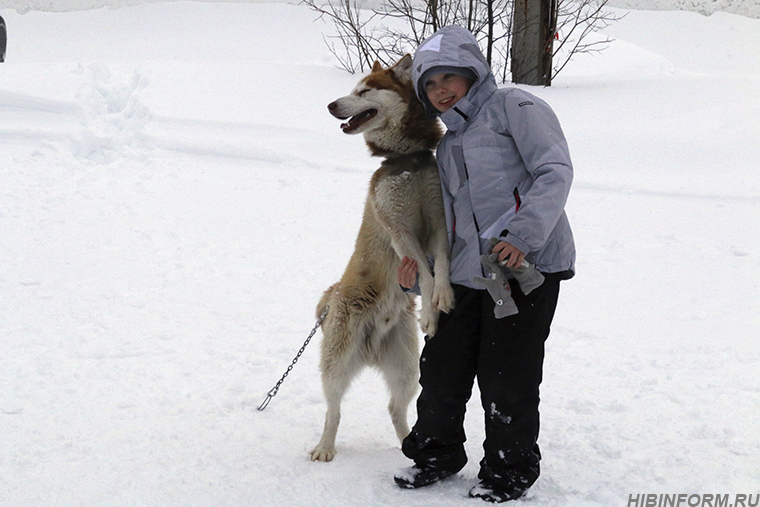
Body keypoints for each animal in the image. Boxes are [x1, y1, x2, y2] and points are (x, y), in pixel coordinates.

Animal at [308, 53, 454, 462]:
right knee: (334, 408)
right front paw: (431, 313)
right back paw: (325, 447)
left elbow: (441, 265)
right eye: (353, 89)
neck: (407, 161)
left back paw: (408, 445)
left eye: (365, 91)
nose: (330, 105)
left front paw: (442, 297)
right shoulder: (399, 229)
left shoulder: (438, 223)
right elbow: (424, 271)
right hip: (338, 360)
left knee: (395, 407)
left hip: (406, 368)